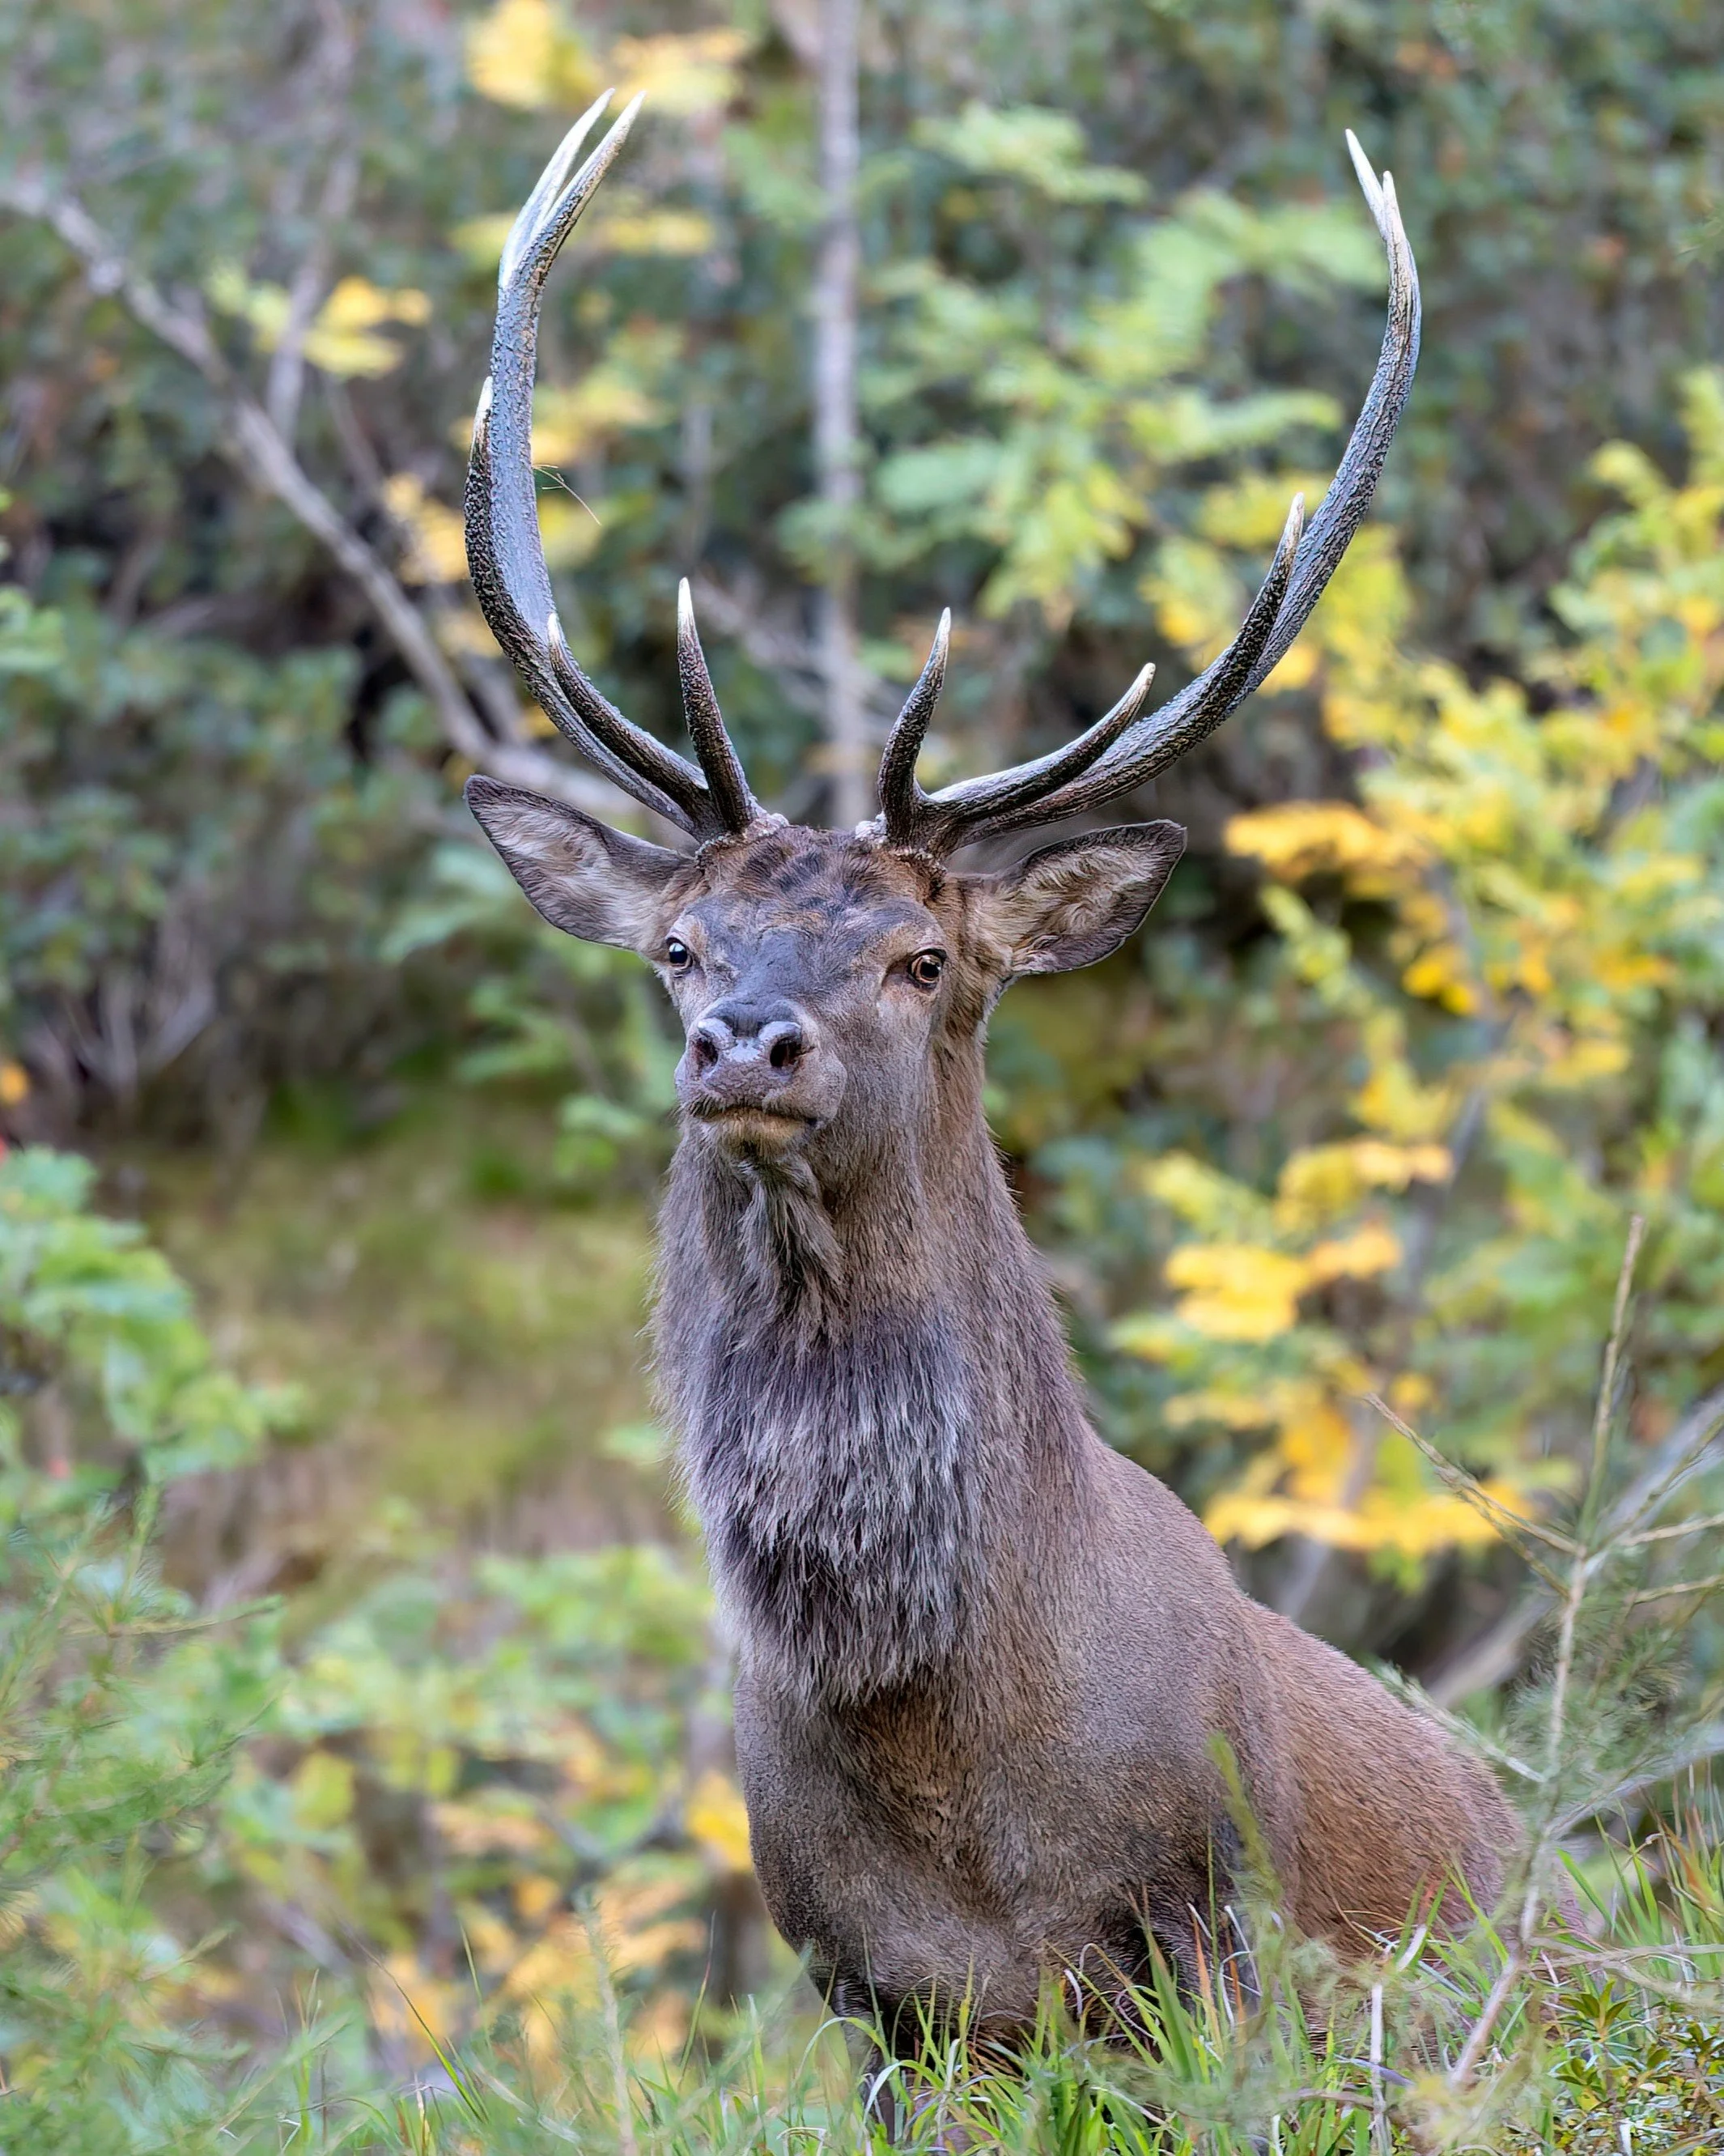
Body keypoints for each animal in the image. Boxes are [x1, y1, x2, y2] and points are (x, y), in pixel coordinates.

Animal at [462, 93, 1517, 2059]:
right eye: (679, 947)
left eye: (925, 957)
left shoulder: (1205, 1934)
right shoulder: (861, 1988)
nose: (746, 1040)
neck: (958, 1765)